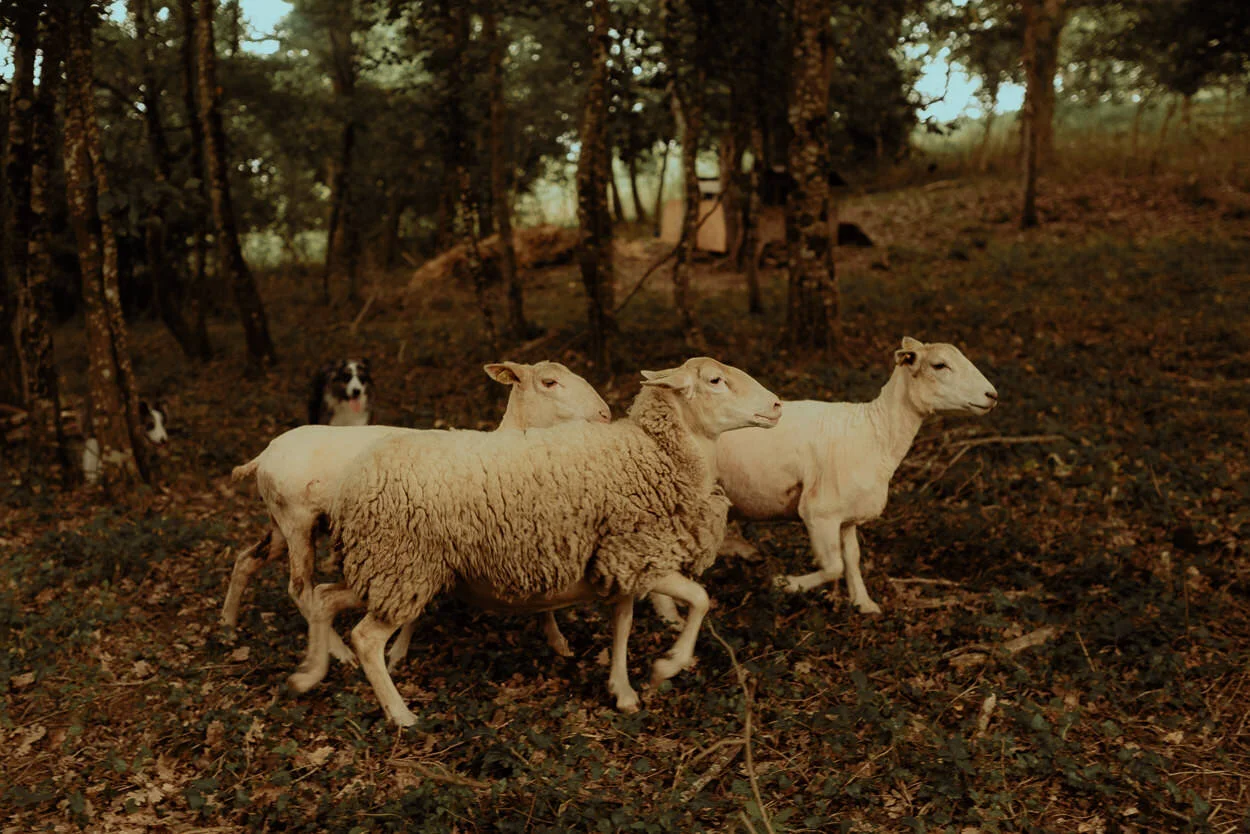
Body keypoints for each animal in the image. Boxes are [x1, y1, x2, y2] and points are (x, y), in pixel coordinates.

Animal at [221, 361, 611, 666]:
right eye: (549, 382)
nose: (605, 415)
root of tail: (264, 455)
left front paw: (558, 642)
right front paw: (397, 650)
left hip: (280, 521)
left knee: (247, 560)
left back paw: (228, 624)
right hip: (298, 521)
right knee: (299, 588)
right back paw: (338, 652)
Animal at [291, 357, 782, 727]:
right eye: (715, 380)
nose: (777, 405)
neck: (653, 453)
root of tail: (351, 482)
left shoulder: (622, 561)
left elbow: (622, 625)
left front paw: (622, 690)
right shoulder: (641, 556)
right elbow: (700, 599)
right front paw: (668, 664)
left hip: (384, 568)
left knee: (323, 597)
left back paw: (309, 673)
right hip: (402, 566)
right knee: (364, 637)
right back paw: (400, 714)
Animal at [712, 337, 998, 614]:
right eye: (940, 365)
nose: (992, 395)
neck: (876, 433)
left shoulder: (846, 515)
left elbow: (852, 557)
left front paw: (863, 602)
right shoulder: (820, 512)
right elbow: (833, 567)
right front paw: (786, 584)